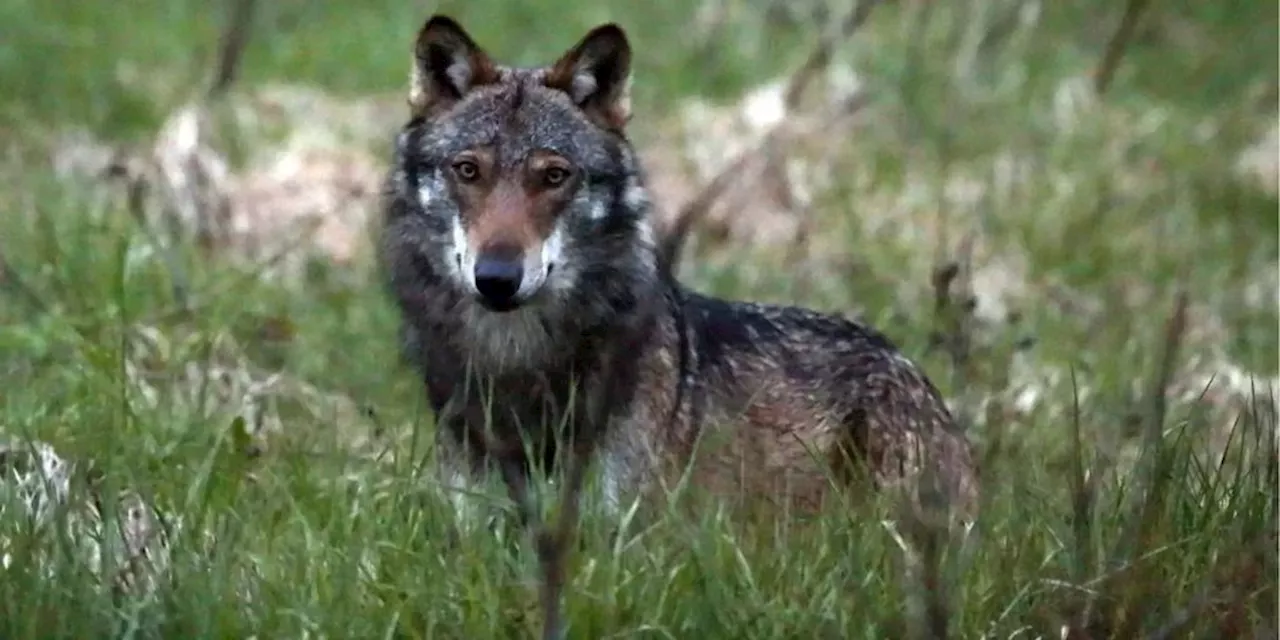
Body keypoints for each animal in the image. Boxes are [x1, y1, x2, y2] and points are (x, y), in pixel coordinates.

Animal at [378, 11, 977, 550]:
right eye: (467, 170)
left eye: (553, 176)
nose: (497, 278)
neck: (516, 363)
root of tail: (913, 372)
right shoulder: (475, 527)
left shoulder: (626, 539)